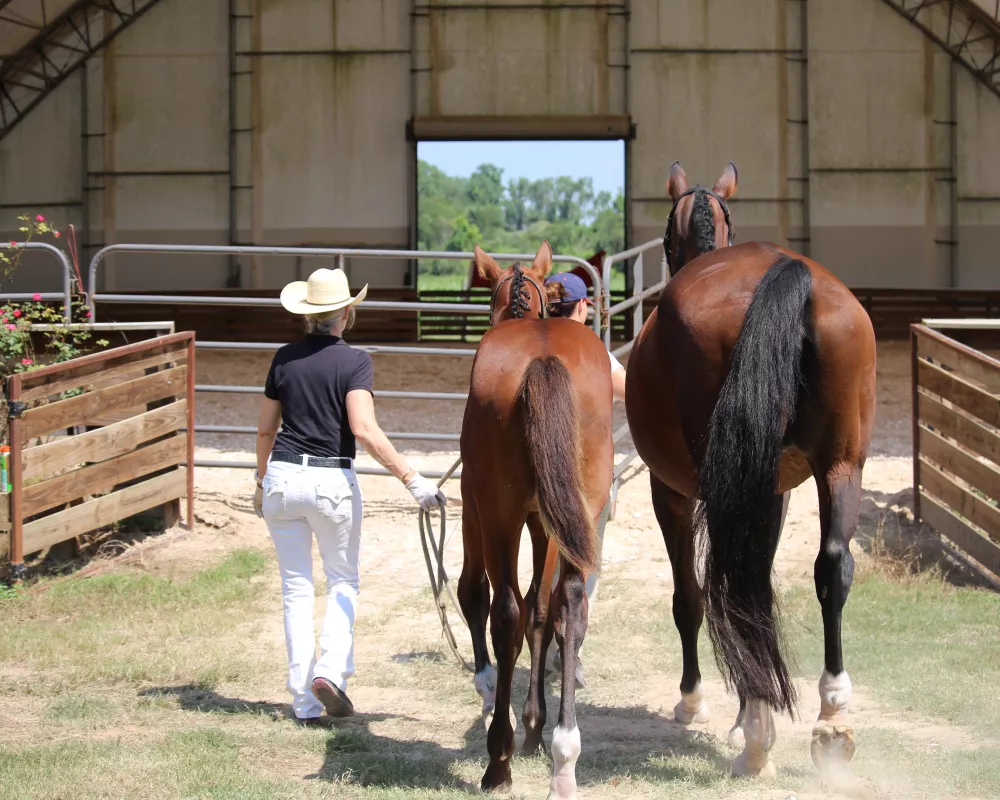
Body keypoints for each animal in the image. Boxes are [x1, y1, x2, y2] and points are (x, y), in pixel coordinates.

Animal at [458, 241, 612, 796]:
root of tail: (541, 359)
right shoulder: (549, 524)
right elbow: (543, 611)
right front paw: (535, 727)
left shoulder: (476, 508)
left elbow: (478, 596)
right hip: (578, 514)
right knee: (569, 603)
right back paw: (564, 755)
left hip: (499, 515)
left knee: (504, 611)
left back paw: (498, 762)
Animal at [624, 162, 876, 776]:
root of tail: (788, 275)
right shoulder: (774, 490)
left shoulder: (670, 492)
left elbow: (689, 597)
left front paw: (697, 702)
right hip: (841, 464)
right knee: (830, 567)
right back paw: (831, 720)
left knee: (731, 587)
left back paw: (759, 734)